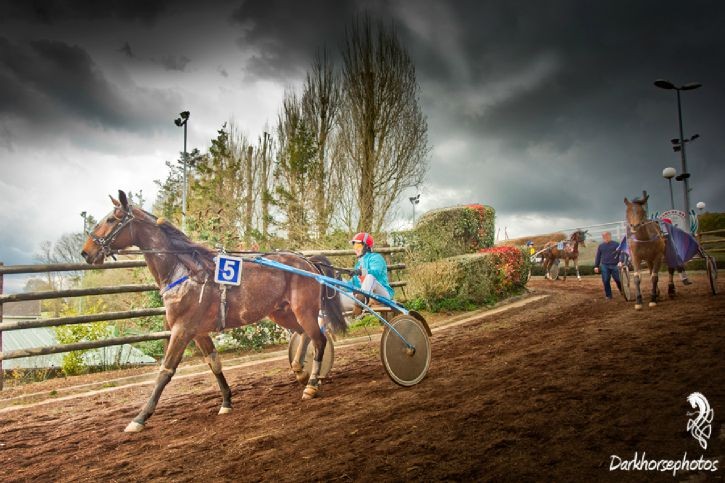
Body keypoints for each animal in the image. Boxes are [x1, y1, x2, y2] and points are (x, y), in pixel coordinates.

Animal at [80, 191, 346, 432]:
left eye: (111, 219)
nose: (86, 252)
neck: (185, 272)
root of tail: (308, 261)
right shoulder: (198, 332)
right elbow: (214, 364)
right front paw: (226, 401)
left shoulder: (182, 330)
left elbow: (165, 371)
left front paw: (140, 417)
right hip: (282, 312)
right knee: (305, 335)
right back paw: (300, 371)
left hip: (303, 309)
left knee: (319, 339)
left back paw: (312, 383)